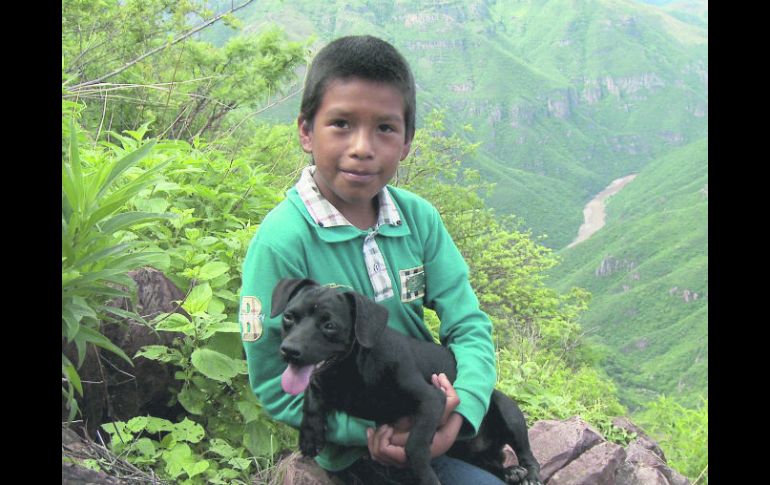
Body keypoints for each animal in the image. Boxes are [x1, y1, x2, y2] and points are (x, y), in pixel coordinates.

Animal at [272, 276, 540, 484]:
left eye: (329, 325)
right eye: (289, 317)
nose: (289, 351)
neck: (349, 373)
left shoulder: (432, 399)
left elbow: (414, 445)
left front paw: (426, 477)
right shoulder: (319, 381)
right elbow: (311, 400)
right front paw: (310, 435)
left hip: (508, 411)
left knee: (527, 453)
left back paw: (527, 474)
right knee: (492, 464)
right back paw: (510, 472)